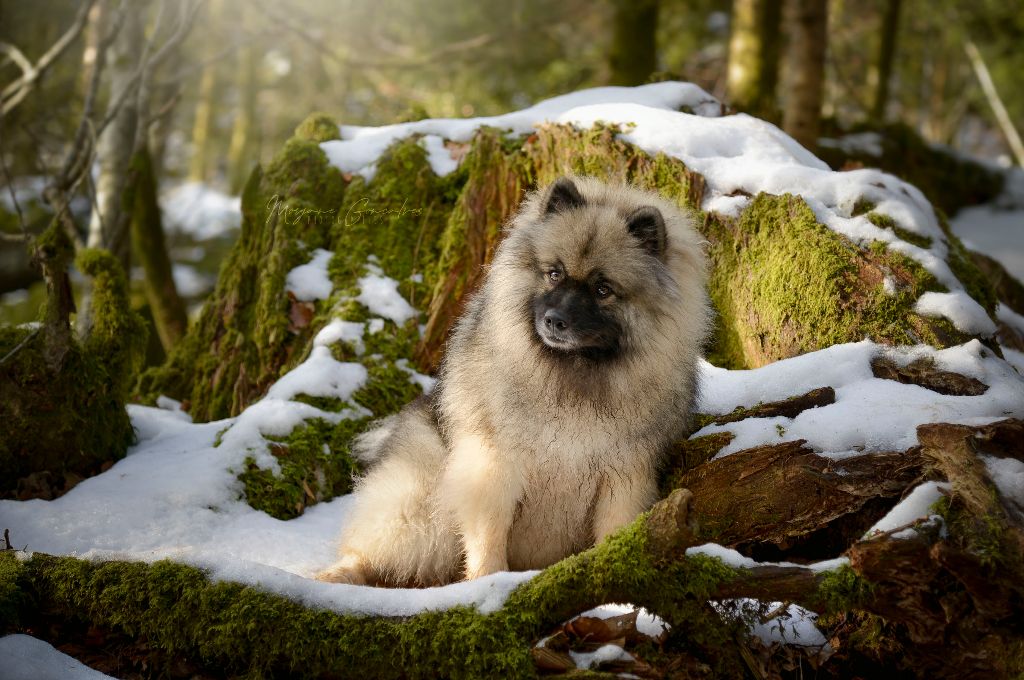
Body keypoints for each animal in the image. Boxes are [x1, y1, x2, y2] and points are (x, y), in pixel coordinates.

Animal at [315, 175, 708, 585]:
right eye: (554, 273)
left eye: (603, 289)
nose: (554, 320)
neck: (572, 374)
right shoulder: (494, 469)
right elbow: (488, 537)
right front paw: (486, 582)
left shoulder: (625, 477)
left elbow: (614, 531)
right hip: (420, 504)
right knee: (373, 552)